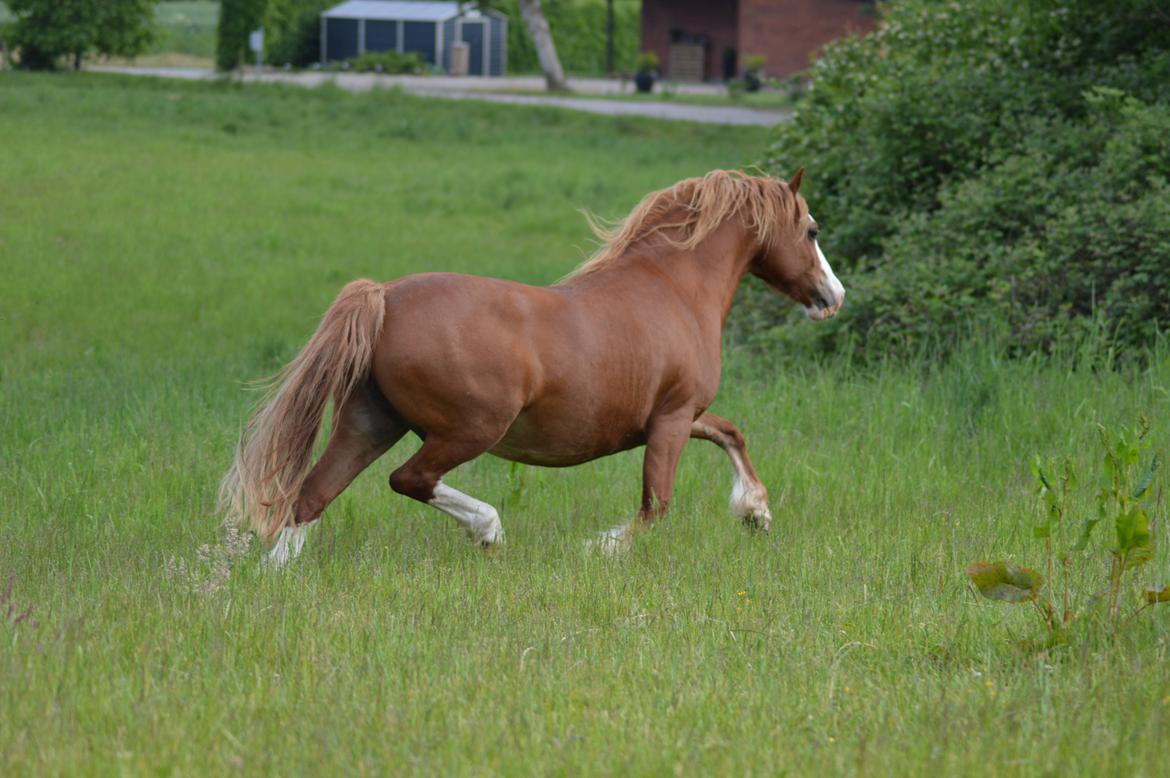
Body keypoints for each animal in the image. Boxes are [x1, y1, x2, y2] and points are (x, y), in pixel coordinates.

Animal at [219, 168, 842, 563]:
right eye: (812, 230)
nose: (832, 296)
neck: (673, 288)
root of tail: (385, 297)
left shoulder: (681, 415)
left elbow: (731, 433)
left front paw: (756, 513)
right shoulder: (671, 418)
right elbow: (655, 507)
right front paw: (599, 550)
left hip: (370, 422)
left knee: (310, 498)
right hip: (469, 428)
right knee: (409, 479)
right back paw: (489, 530)